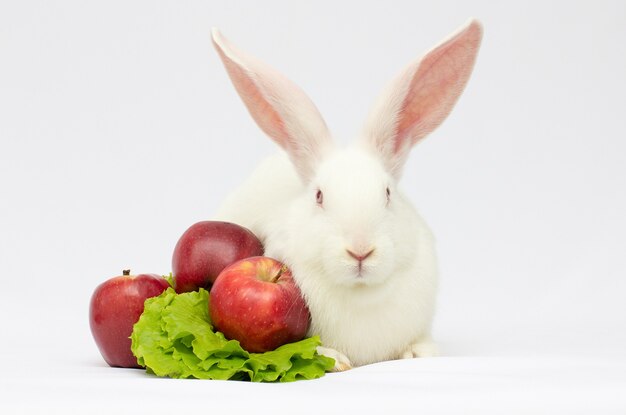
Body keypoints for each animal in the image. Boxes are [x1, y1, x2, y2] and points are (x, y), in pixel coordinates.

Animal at [211, 19, 482, 370]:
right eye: (319, 196)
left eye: (387, 193)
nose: (360, 251)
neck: (361, 293)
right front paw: (335, 359)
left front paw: (420, 352)